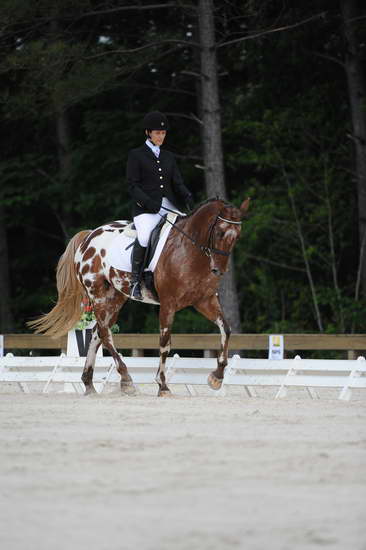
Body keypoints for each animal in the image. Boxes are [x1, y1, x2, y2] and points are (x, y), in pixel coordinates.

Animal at [30, 198, 250, 396]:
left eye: (238, 236)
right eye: (219, 233)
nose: (219, 270)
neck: (191, 251)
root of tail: (89, 236)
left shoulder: (204, 300)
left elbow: (226, 329)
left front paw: (217, 377)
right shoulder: (168, 304)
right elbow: (165, 343)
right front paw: (163, 385)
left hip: (115, 298)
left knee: (97, 332)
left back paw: (89, 384)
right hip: (99, 295)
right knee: (105, 334)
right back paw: (126, 379)